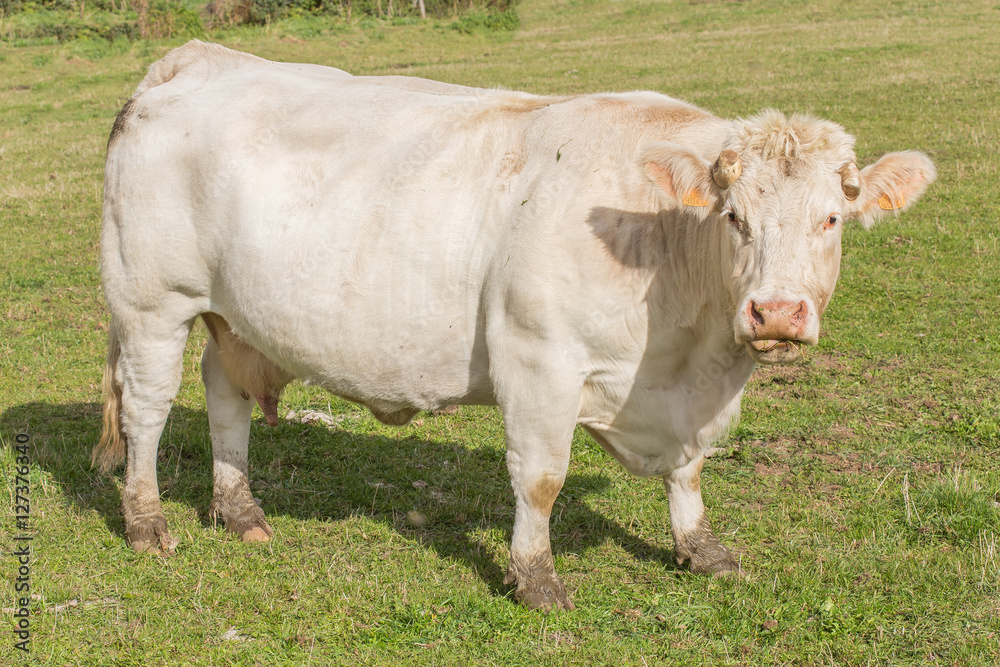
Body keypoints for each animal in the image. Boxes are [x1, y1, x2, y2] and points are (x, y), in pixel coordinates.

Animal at [90, 40, 932, 612]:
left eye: (832, 218)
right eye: (735, 217)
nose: (776, 311)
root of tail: (195, 59)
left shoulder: (694, 395)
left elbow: (690, 468)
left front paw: (701, 548)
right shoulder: (539, 358)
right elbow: (542, 476)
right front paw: (536, 578)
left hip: (233, 313)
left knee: (225, 395)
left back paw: (242, 513)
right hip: (151, 301)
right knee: (148, 411)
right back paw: (147, 524)